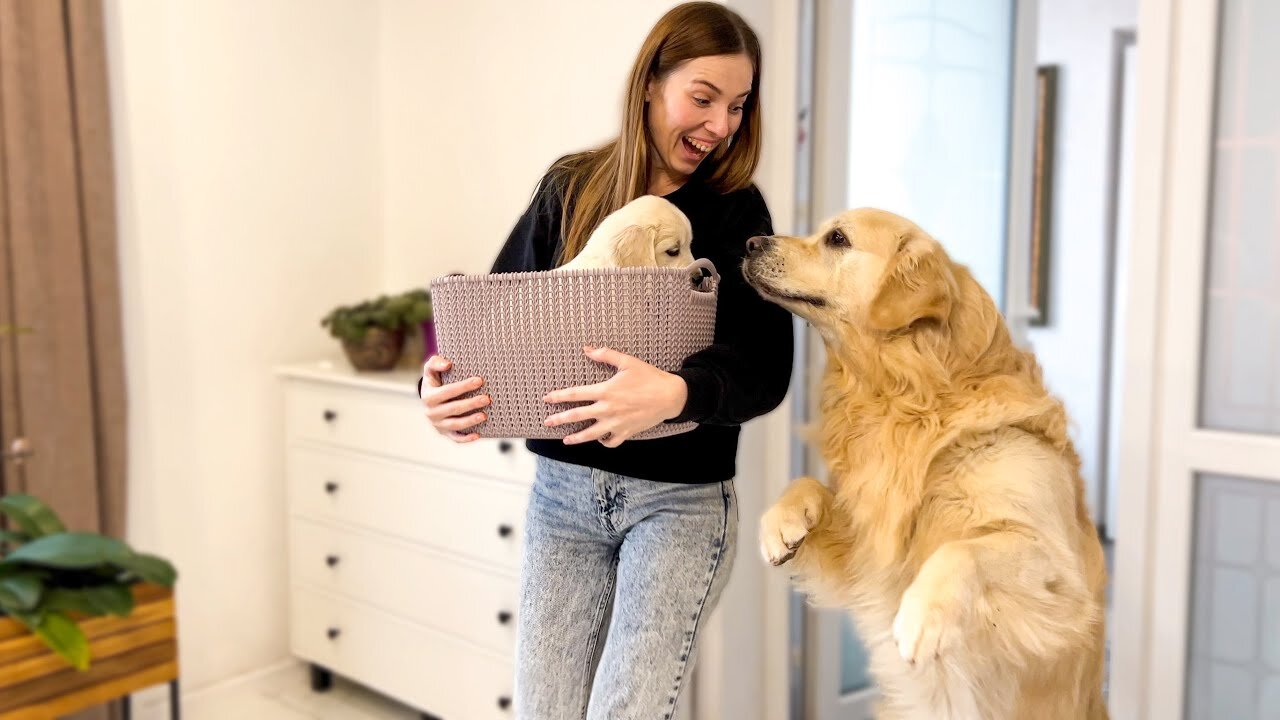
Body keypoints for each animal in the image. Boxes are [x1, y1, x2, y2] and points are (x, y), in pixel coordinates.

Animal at [747, 207, 1105, 717]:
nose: (751, 243)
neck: (914, 401)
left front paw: (920, 616)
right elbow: (810, 485)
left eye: (837, 239)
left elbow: (961, 550)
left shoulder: (1058, 576)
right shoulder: (870, 543)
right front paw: (780, 523)